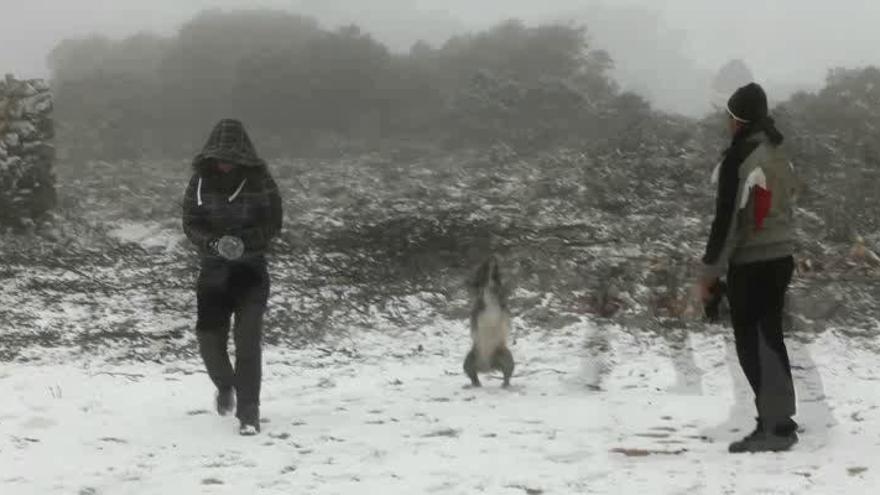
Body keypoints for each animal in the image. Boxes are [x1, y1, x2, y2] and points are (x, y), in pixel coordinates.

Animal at [460, 258, 516, 390]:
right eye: (483, 265)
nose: (493, 258)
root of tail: (487, 367)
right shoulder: (479, 294)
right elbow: (477, 297)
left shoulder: (499, 293)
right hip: (471, 358)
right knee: (471, 373)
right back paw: (475, 384)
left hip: (504, 355)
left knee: (507, 371)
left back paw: (505, 384)